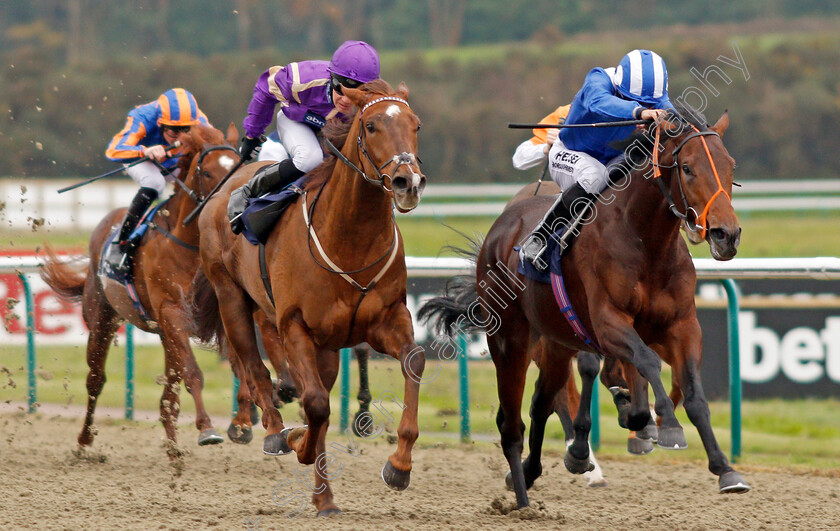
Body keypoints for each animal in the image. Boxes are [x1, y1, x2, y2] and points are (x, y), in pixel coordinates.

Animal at [40, 121, 241, 454]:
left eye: (238, 167)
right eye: (209, 173)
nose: (228, 211)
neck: (185, 242)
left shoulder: (201, 316)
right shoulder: (171, 312)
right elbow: (193, 373)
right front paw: (207, 428)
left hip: (162, 332)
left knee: (168, 398)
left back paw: (174, 450)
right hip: (102, 318)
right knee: (95, 380)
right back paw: (84, 442)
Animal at [191, 79, 426, 516]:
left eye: (415, 124)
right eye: (370, 126)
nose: (408, 182)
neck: (350, 239)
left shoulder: (387, 318)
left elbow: (413, 360)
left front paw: (399, 465)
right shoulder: (294, 325)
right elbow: (314, 404)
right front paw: (296, 441)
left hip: (329, 347)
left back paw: (325, 497)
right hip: (231, 297)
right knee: (255, 369)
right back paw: (275, 433)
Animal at [424, 109, 752, 512]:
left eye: (729, 165)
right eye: (687, 167)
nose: (727, 234)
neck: (645, 243)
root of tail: (502, 225)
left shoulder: (682, 325)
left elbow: (692, 392)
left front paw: (725, 468)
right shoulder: (608, 321)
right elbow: (645, 362)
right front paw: (667, 427)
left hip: (555, 340)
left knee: (541, 402)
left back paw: (537, 470)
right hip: (511, 339)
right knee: (520, 413)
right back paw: (533, 483)